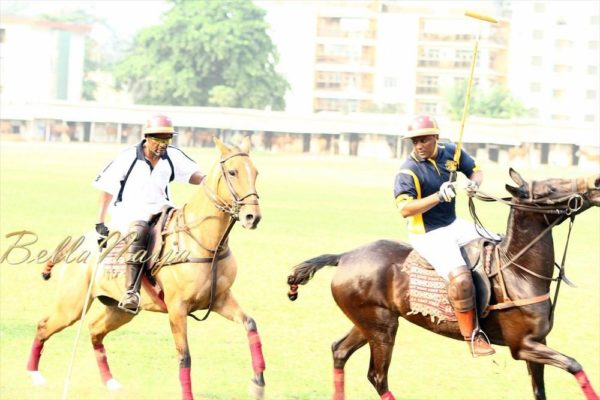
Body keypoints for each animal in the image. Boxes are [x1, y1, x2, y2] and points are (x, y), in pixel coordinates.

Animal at [25, 137, 264, 400]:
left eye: (256, 172)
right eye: (232, 172)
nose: (253, 217)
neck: (205, 242)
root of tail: (78, 242)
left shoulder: (221, 298)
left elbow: (250, 324)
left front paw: (258, 383)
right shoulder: (177, 308)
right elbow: (184, 356)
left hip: (119, 309)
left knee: (95, 329)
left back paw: (111, 383)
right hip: (72, 305)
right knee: (44, 325)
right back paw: (34, 375)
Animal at [288, 169, 596, 400]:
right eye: (550, 189)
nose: (596, 183)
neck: (518, 271)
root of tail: (344, 257)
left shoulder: (538, 342)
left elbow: (540, 390)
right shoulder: (522, 346)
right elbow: (575, 364)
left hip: (369, 321)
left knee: (339, 350)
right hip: (381, 327)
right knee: (377, 376)